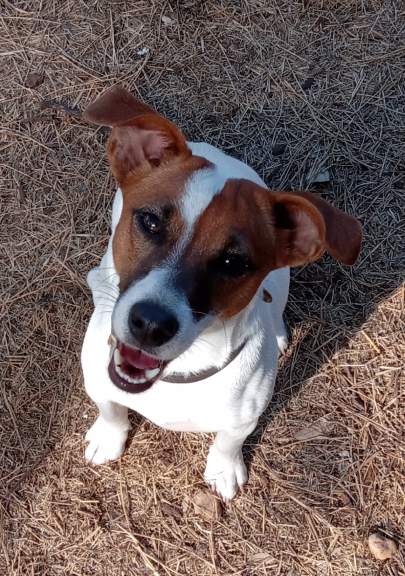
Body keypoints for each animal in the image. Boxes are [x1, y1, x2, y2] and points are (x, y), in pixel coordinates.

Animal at [80, 85, 362, 500]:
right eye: (150, 221)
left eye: (233, 263)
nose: (150, 324)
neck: (177, 375)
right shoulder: (98, 381)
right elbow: (110, 410)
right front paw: (108, 438)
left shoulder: (243, 418)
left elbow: (228, 442)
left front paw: (223, 470)